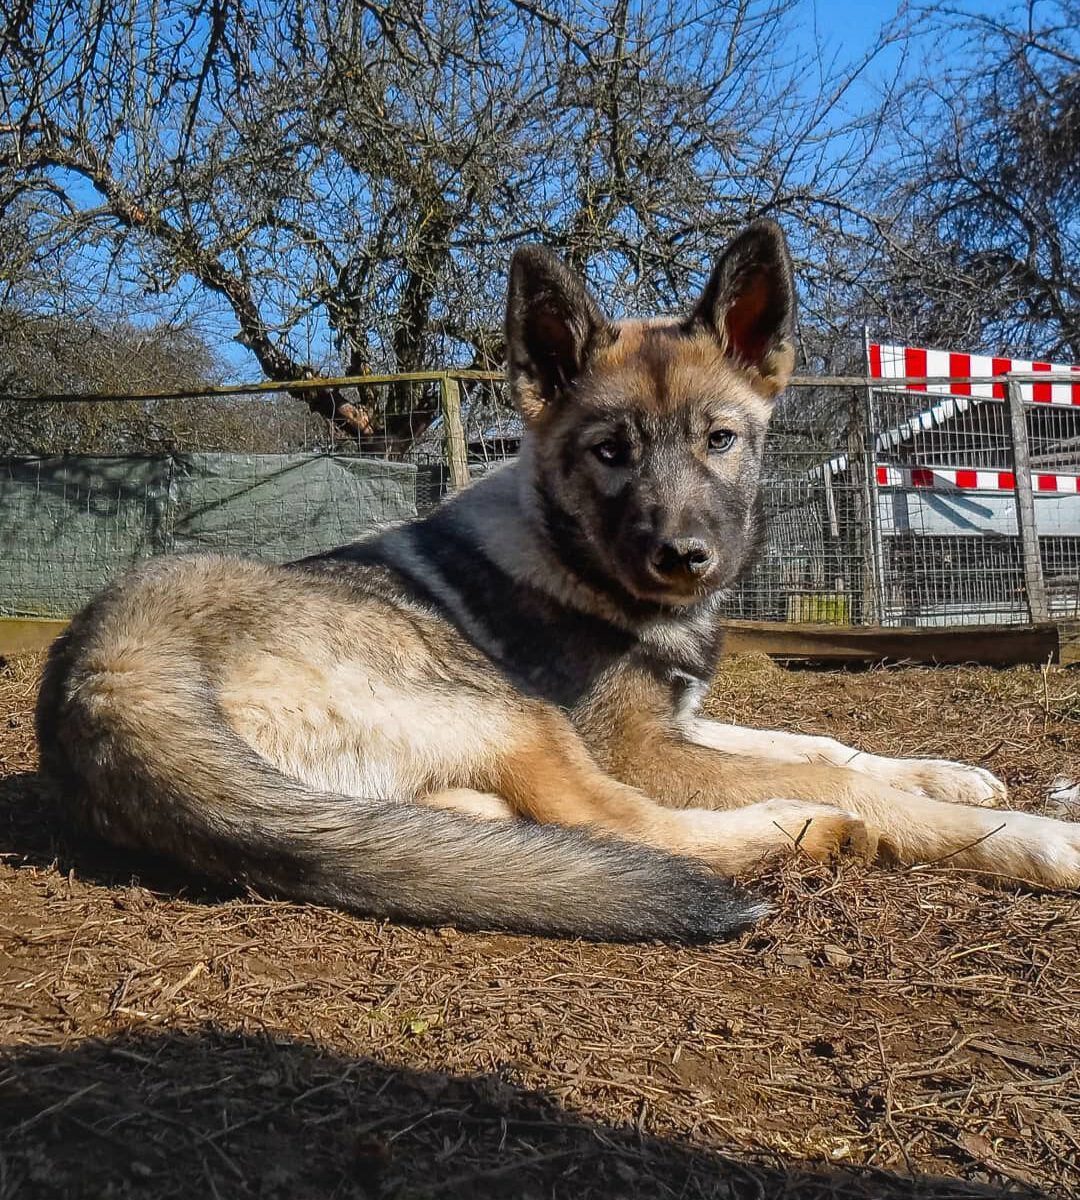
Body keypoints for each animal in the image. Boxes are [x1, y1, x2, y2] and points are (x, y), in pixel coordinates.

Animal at [33, 223, 1080, 936]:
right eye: (611, 452)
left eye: (720, 440)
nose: (683, 557)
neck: (576, 556)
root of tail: (103, 672)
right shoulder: (641, 749)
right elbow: (839, 781)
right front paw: (1029, 834)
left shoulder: (678, 723)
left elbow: (826, 742)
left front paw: (955, 774)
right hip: (509, 710)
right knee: (617, 822)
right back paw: (805, 829)